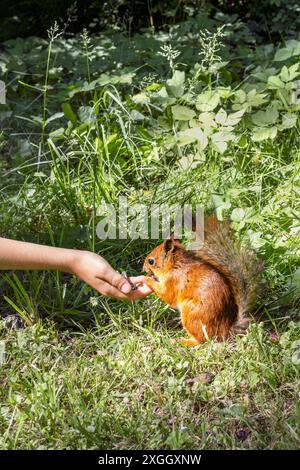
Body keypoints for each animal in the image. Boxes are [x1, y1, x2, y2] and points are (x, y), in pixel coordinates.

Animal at [143, 216, 262, 346]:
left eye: (151, 261)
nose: (143, 269)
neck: (175, 266)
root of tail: (224, 332)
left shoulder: (173, 281)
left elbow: (168, 295)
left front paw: (147, 279)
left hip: (190, 313)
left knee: (201, 341)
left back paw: (182, 341)